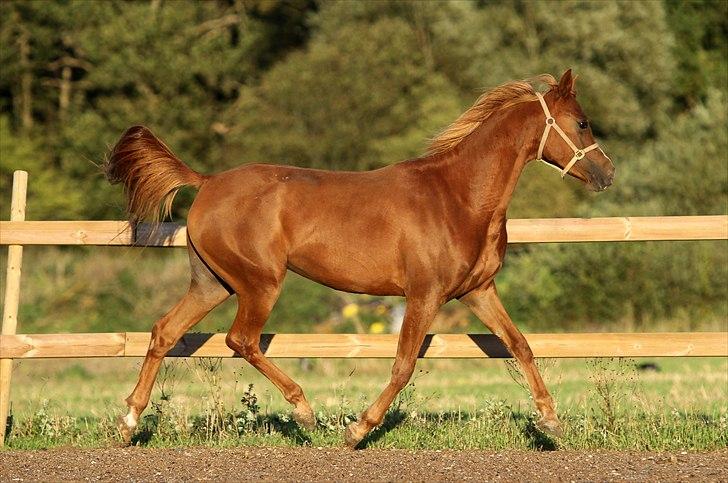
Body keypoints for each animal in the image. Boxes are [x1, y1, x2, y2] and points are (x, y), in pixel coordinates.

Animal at [104, 70, 616, 448]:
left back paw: (129, 424)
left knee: (165, 332)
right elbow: (404, 365)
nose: (607, 173)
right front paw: (357, 430)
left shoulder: (477, 291)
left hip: (212, 282)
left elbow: (520, 345)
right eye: (583, 122)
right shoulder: (424, 294)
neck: (458, 197)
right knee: (241, 340)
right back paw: (305, 413)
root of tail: (207, 182)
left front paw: (551, 422)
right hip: (260, 283)